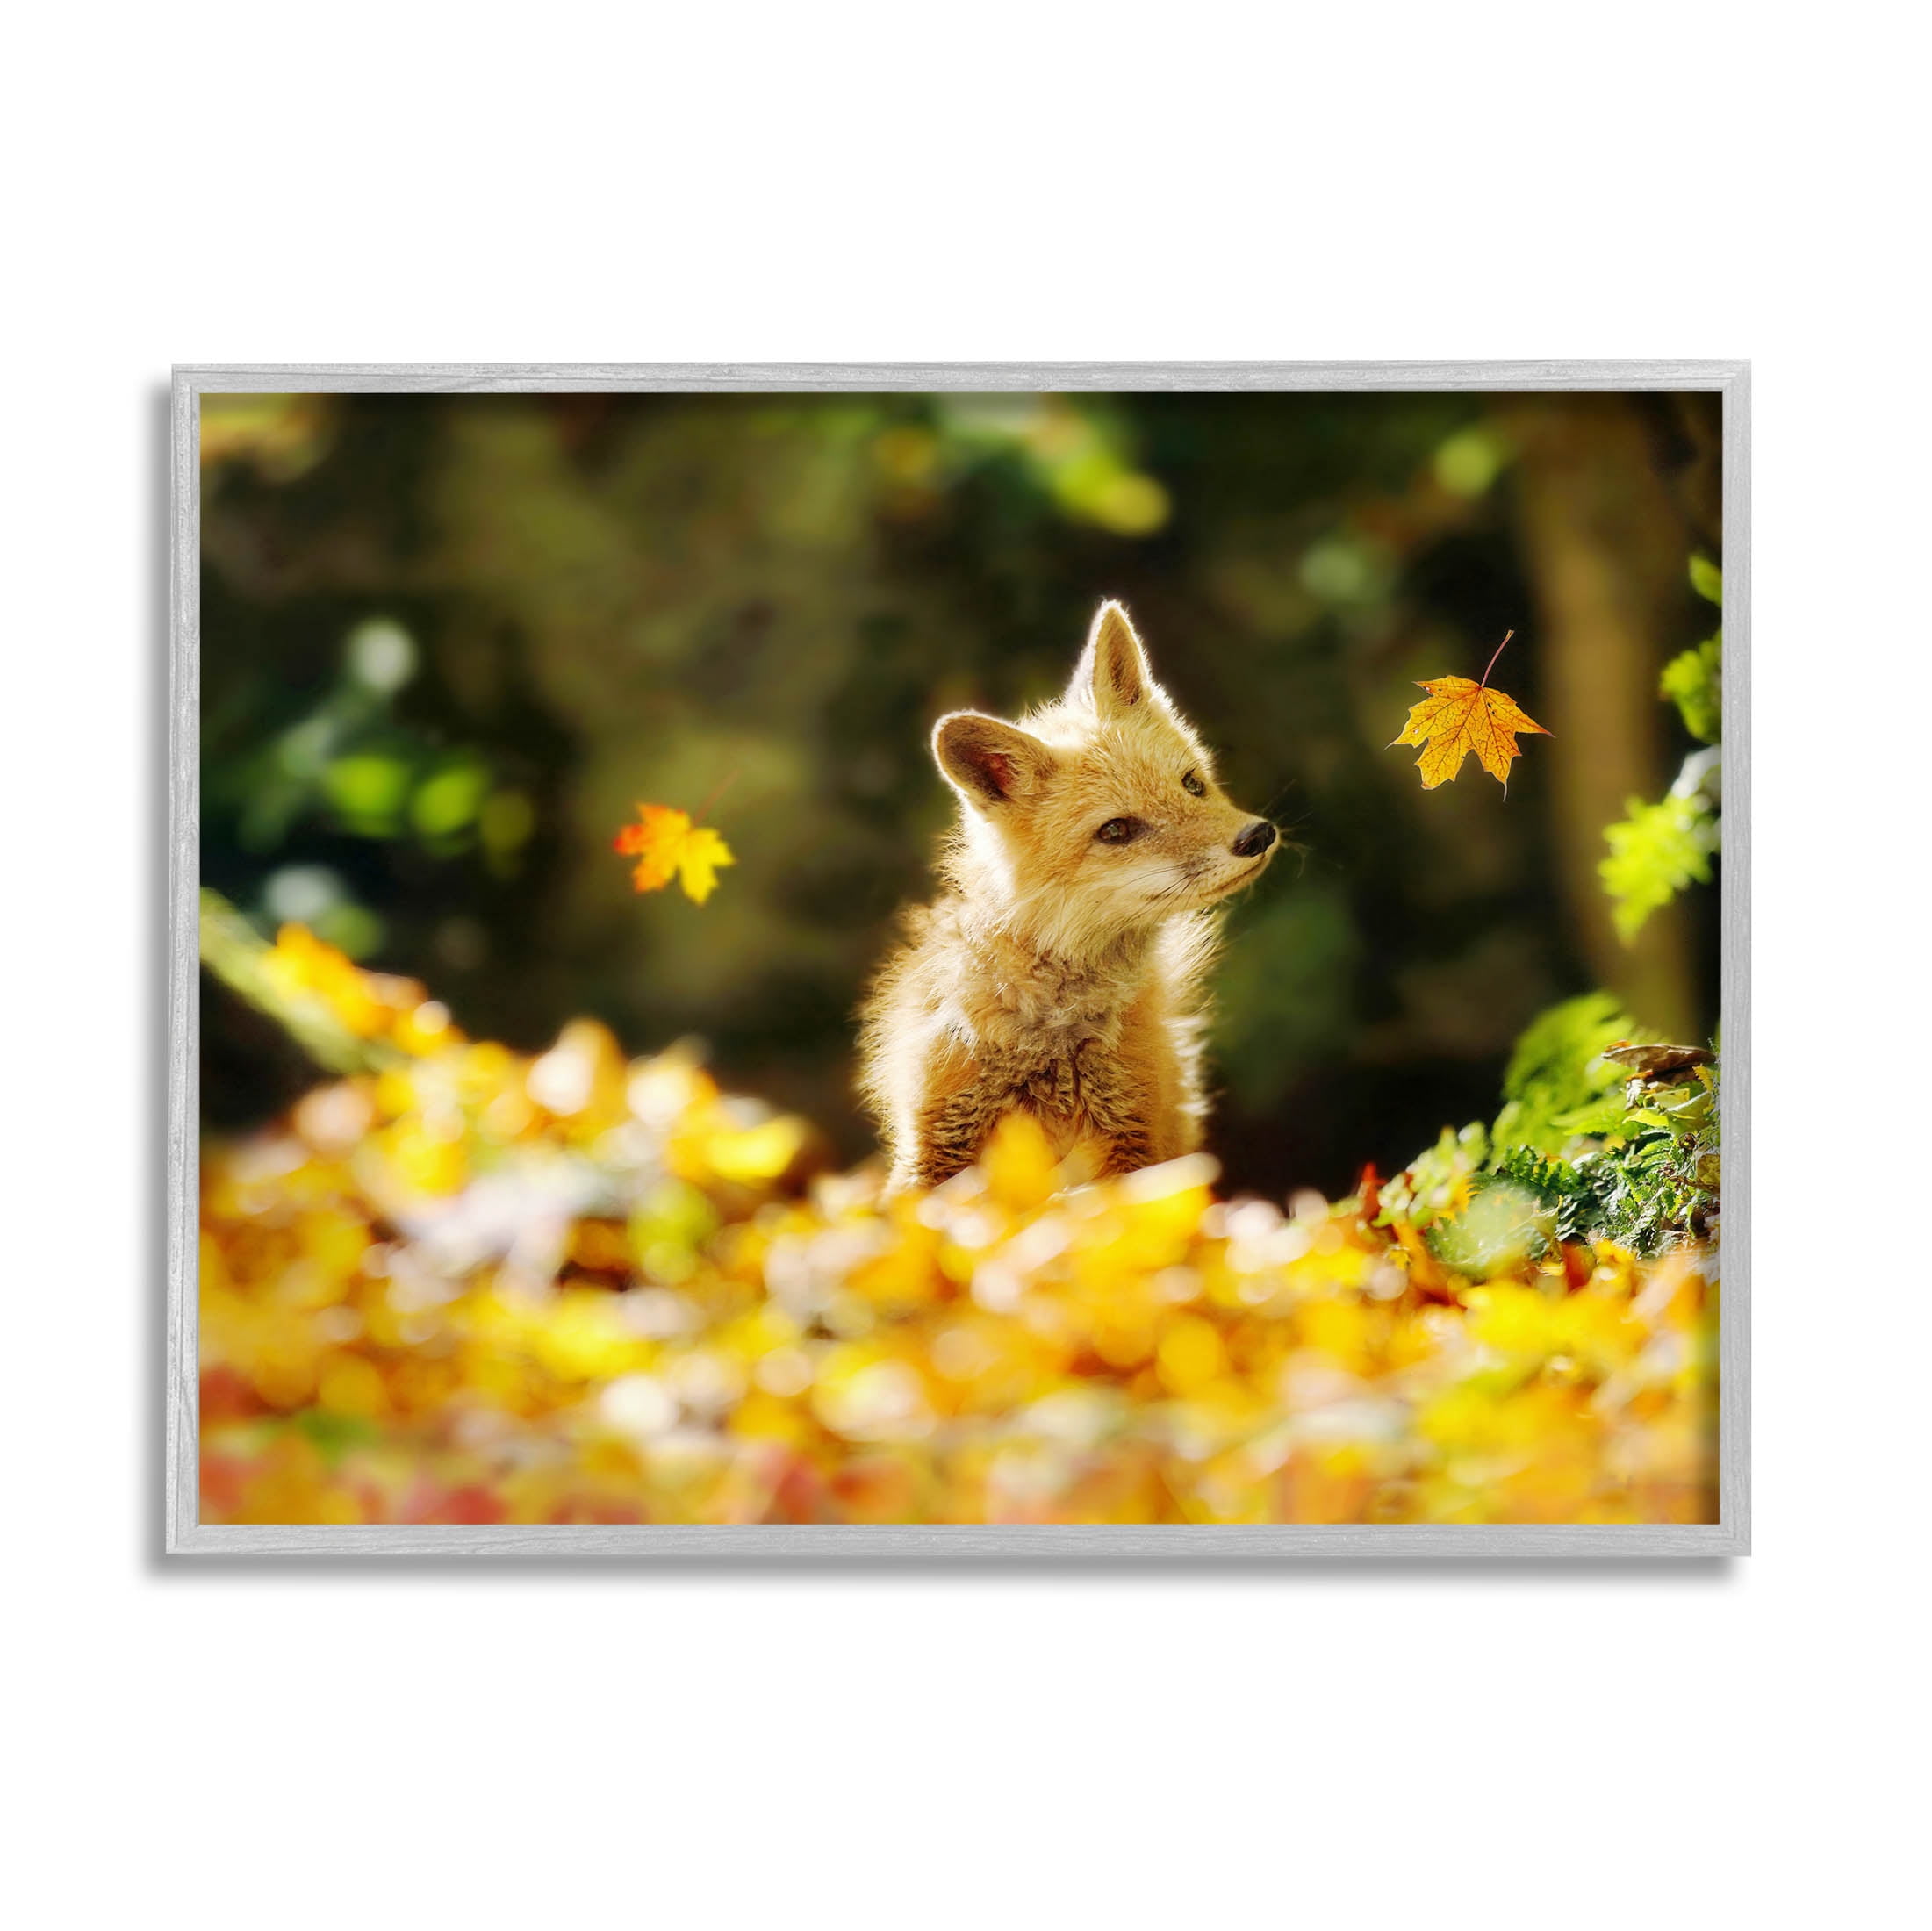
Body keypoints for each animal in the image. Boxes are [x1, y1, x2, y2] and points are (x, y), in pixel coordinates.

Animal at [859, 599, 1279, 1193]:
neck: (1052, 1038)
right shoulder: (935, 1141)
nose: (1257, 837)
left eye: (1192, 784)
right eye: (1116, 830)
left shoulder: (1132, 1139)